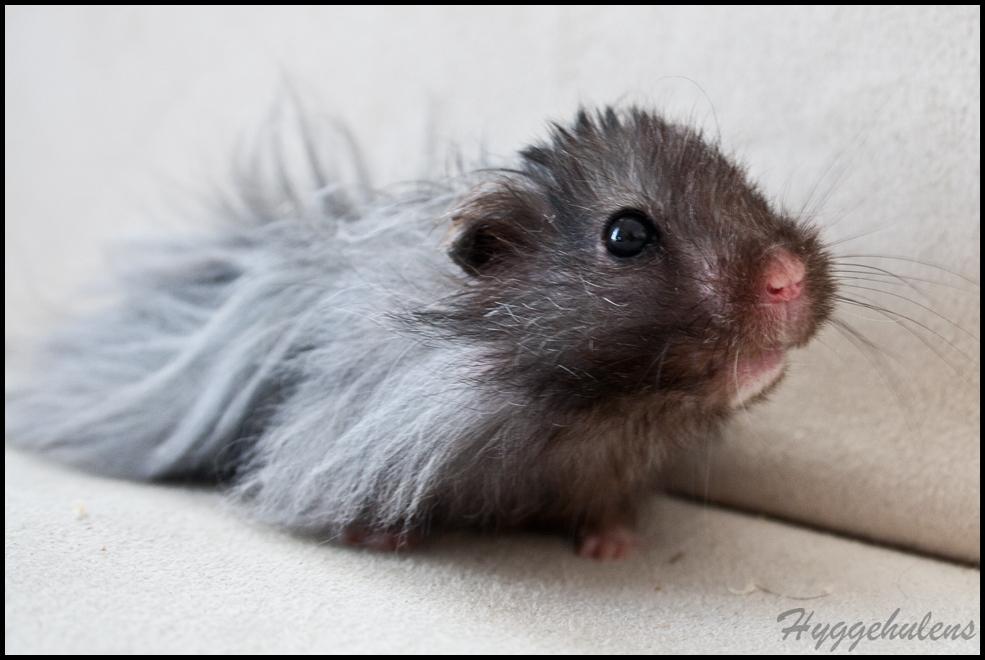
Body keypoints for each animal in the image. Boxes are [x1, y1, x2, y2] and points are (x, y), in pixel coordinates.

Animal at [5, 107, 835, 559]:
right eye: (626, 235)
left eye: (744, 180)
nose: (789, 277)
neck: (586, 412)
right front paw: (385, 540)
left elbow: (606, 509)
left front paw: (611, 549)